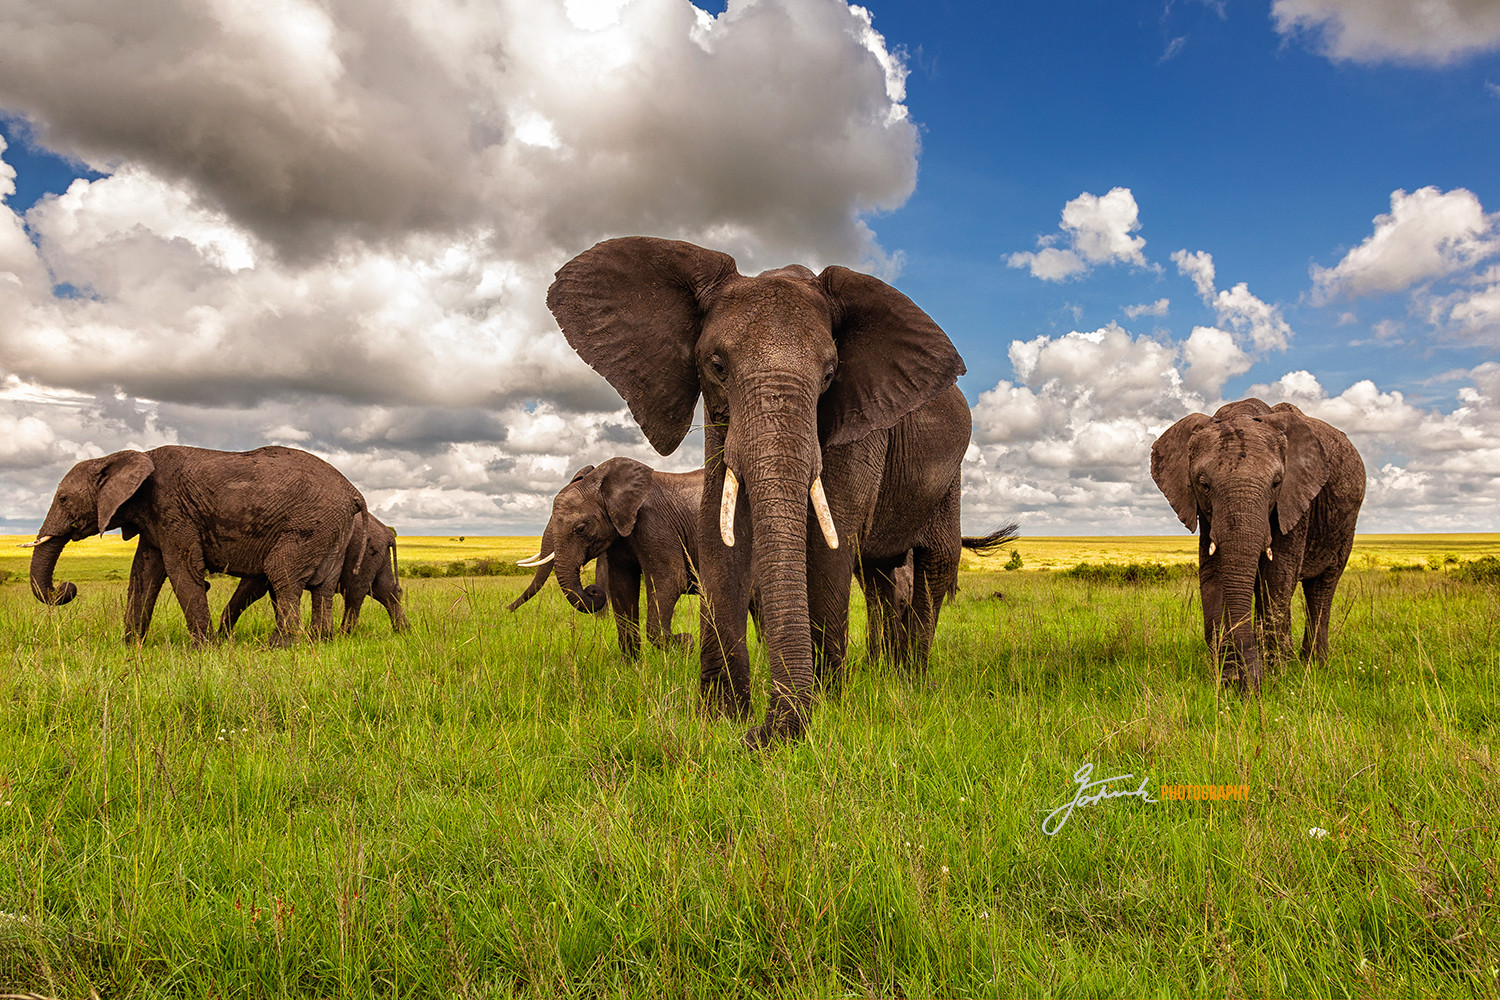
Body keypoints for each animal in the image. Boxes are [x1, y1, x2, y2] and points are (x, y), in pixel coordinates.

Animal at [27, 446, 366, 650]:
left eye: (63, 499)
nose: (67, 587)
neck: (126, 456)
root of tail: (353, 492)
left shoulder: (173, 509)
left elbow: (182, 570)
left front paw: (201, 650)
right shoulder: (154, 519)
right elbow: (143, 574)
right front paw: (130, 646)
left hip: (310, 524)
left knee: (281, 572)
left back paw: (277, 646)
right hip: (334, 528)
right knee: (323, 586)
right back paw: (320, 641)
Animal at [507, 458, 699, 659]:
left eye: (581, 528)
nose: (506, 608)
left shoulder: (655, 524)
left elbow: (671, 581)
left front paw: (687, 644)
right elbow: (622, 586)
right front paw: (631, 665)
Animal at [552, 238, 972, 746]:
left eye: (830, 374)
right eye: (716, 366)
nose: (761, 732)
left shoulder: (861, 421)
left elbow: (829, 540)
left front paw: (823, 705)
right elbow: (720, 528)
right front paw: (720, 715)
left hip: (950, 478)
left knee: (934, 565)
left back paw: (911, 680)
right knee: (878, 577)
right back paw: (881, 672)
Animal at [1146, 398, 1374, 689]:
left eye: (1276, 483)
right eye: (1204, 485)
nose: (1245, 683)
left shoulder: (1295, 500)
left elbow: (1278, 575)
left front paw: (1274, 675)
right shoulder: (1205, 514)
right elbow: (1214, 575)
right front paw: (1227, 676)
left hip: (1345, 524)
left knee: (1321, 587)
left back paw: (1312, 664)